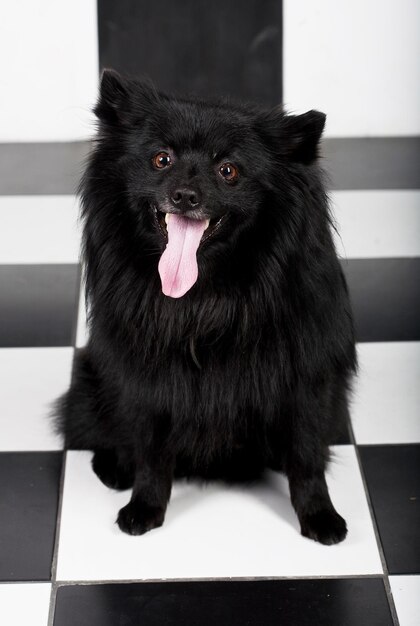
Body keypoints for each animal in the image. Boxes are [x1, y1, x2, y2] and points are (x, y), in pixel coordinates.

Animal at [56, 69, 358, 540]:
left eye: (228, 170)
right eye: (161, 159)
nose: (184, 195)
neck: (205, 297)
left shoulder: (307, 380)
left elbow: (307, 458)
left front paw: (319, 515)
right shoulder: (148, 381)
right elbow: (151, 453)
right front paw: (144, 506)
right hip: (90, 378)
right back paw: (115, 467)